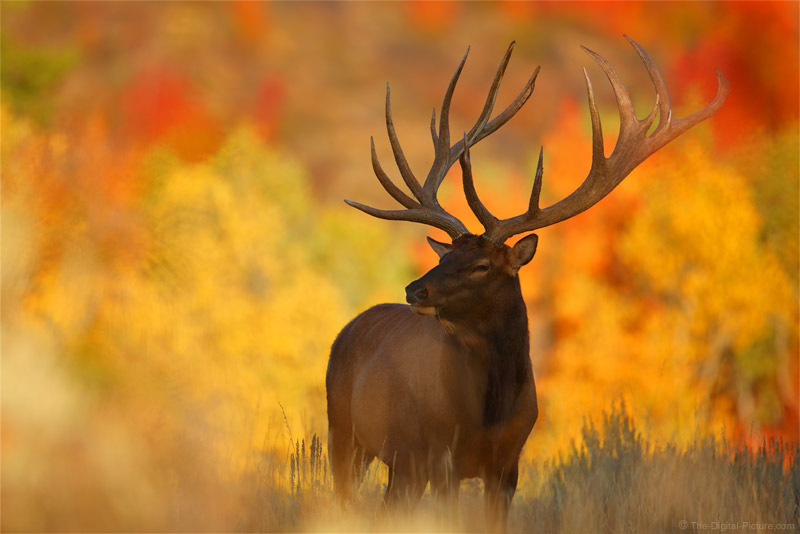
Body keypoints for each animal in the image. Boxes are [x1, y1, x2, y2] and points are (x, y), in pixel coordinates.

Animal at [324, 36, 724, 532]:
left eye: (481, 266)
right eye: (446, 255)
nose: (414, 290)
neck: (490, 412)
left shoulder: (507, 465)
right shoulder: (442, 457)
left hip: (400, 464)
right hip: (344, 433)